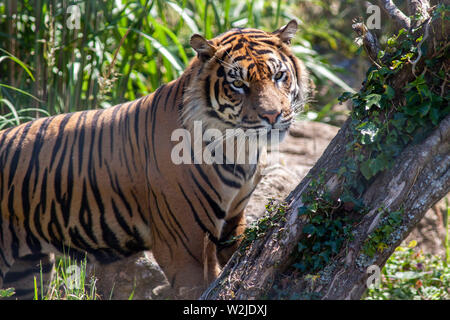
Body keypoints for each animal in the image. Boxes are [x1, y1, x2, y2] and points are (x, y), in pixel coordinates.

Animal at [0, 20, 310, 298]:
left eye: (279, 76)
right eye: (238, 84)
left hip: (28, 270)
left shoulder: (233, 222)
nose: (273, 116)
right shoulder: (184, 248)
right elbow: (203, 288)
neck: (240, 147)